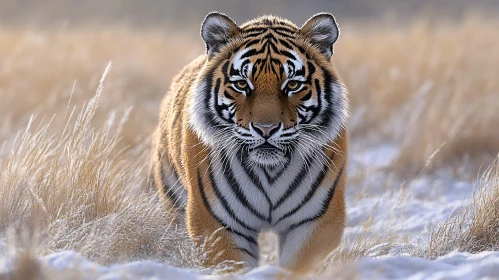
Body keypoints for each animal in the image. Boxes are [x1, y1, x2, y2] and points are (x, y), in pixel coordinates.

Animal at [150, 11, 350, 274]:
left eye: (293, 85)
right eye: (242, 84)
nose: (266, 129)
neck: (270, 171)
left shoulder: (316, 220)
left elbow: (297, 267)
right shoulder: (217, 223)